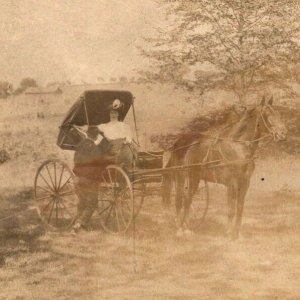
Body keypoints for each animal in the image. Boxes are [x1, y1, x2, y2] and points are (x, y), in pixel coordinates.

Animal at [164, 96, 288, 239]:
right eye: (267, 114)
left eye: (278, 113)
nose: (283, 134)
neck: (238, 147)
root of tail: (178, 144)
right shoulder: (232, 183)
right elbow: (231, 209)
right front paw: (229, 233)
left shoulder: (244, 183)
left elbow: (239, 208)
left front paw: (237, 234)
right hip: (184, 177)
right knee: (181, 200)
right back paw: (180, 229)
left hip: (194, 179)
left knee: (186, 199)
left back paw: (187, 227)